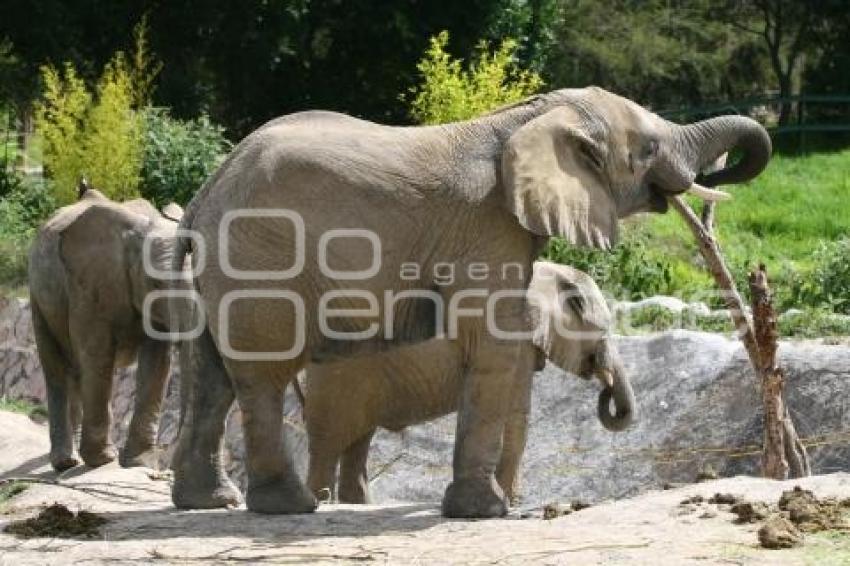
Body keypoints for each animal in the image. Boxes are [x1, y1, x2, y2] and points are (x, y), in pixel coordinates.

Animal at [28, 184, 184, 472]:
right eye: (156, 284)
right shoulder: (89, 285)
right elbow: (97, 354)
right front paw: (103, 460)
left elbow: (158, 362)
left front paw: (139, 464)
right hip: (39, 297)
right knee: (59, 367)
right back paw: (66, 462)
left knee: (77, 370)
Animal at [304, 262, 628, 506]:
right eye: (603, 331)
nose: (606, 389)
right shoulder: (517, 338)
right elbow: (516, 415)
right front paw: (510, 502)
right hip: (336, 378)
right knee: (328, 443)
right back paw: (321, 501)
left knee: (358, 440)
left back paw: (357, 503)